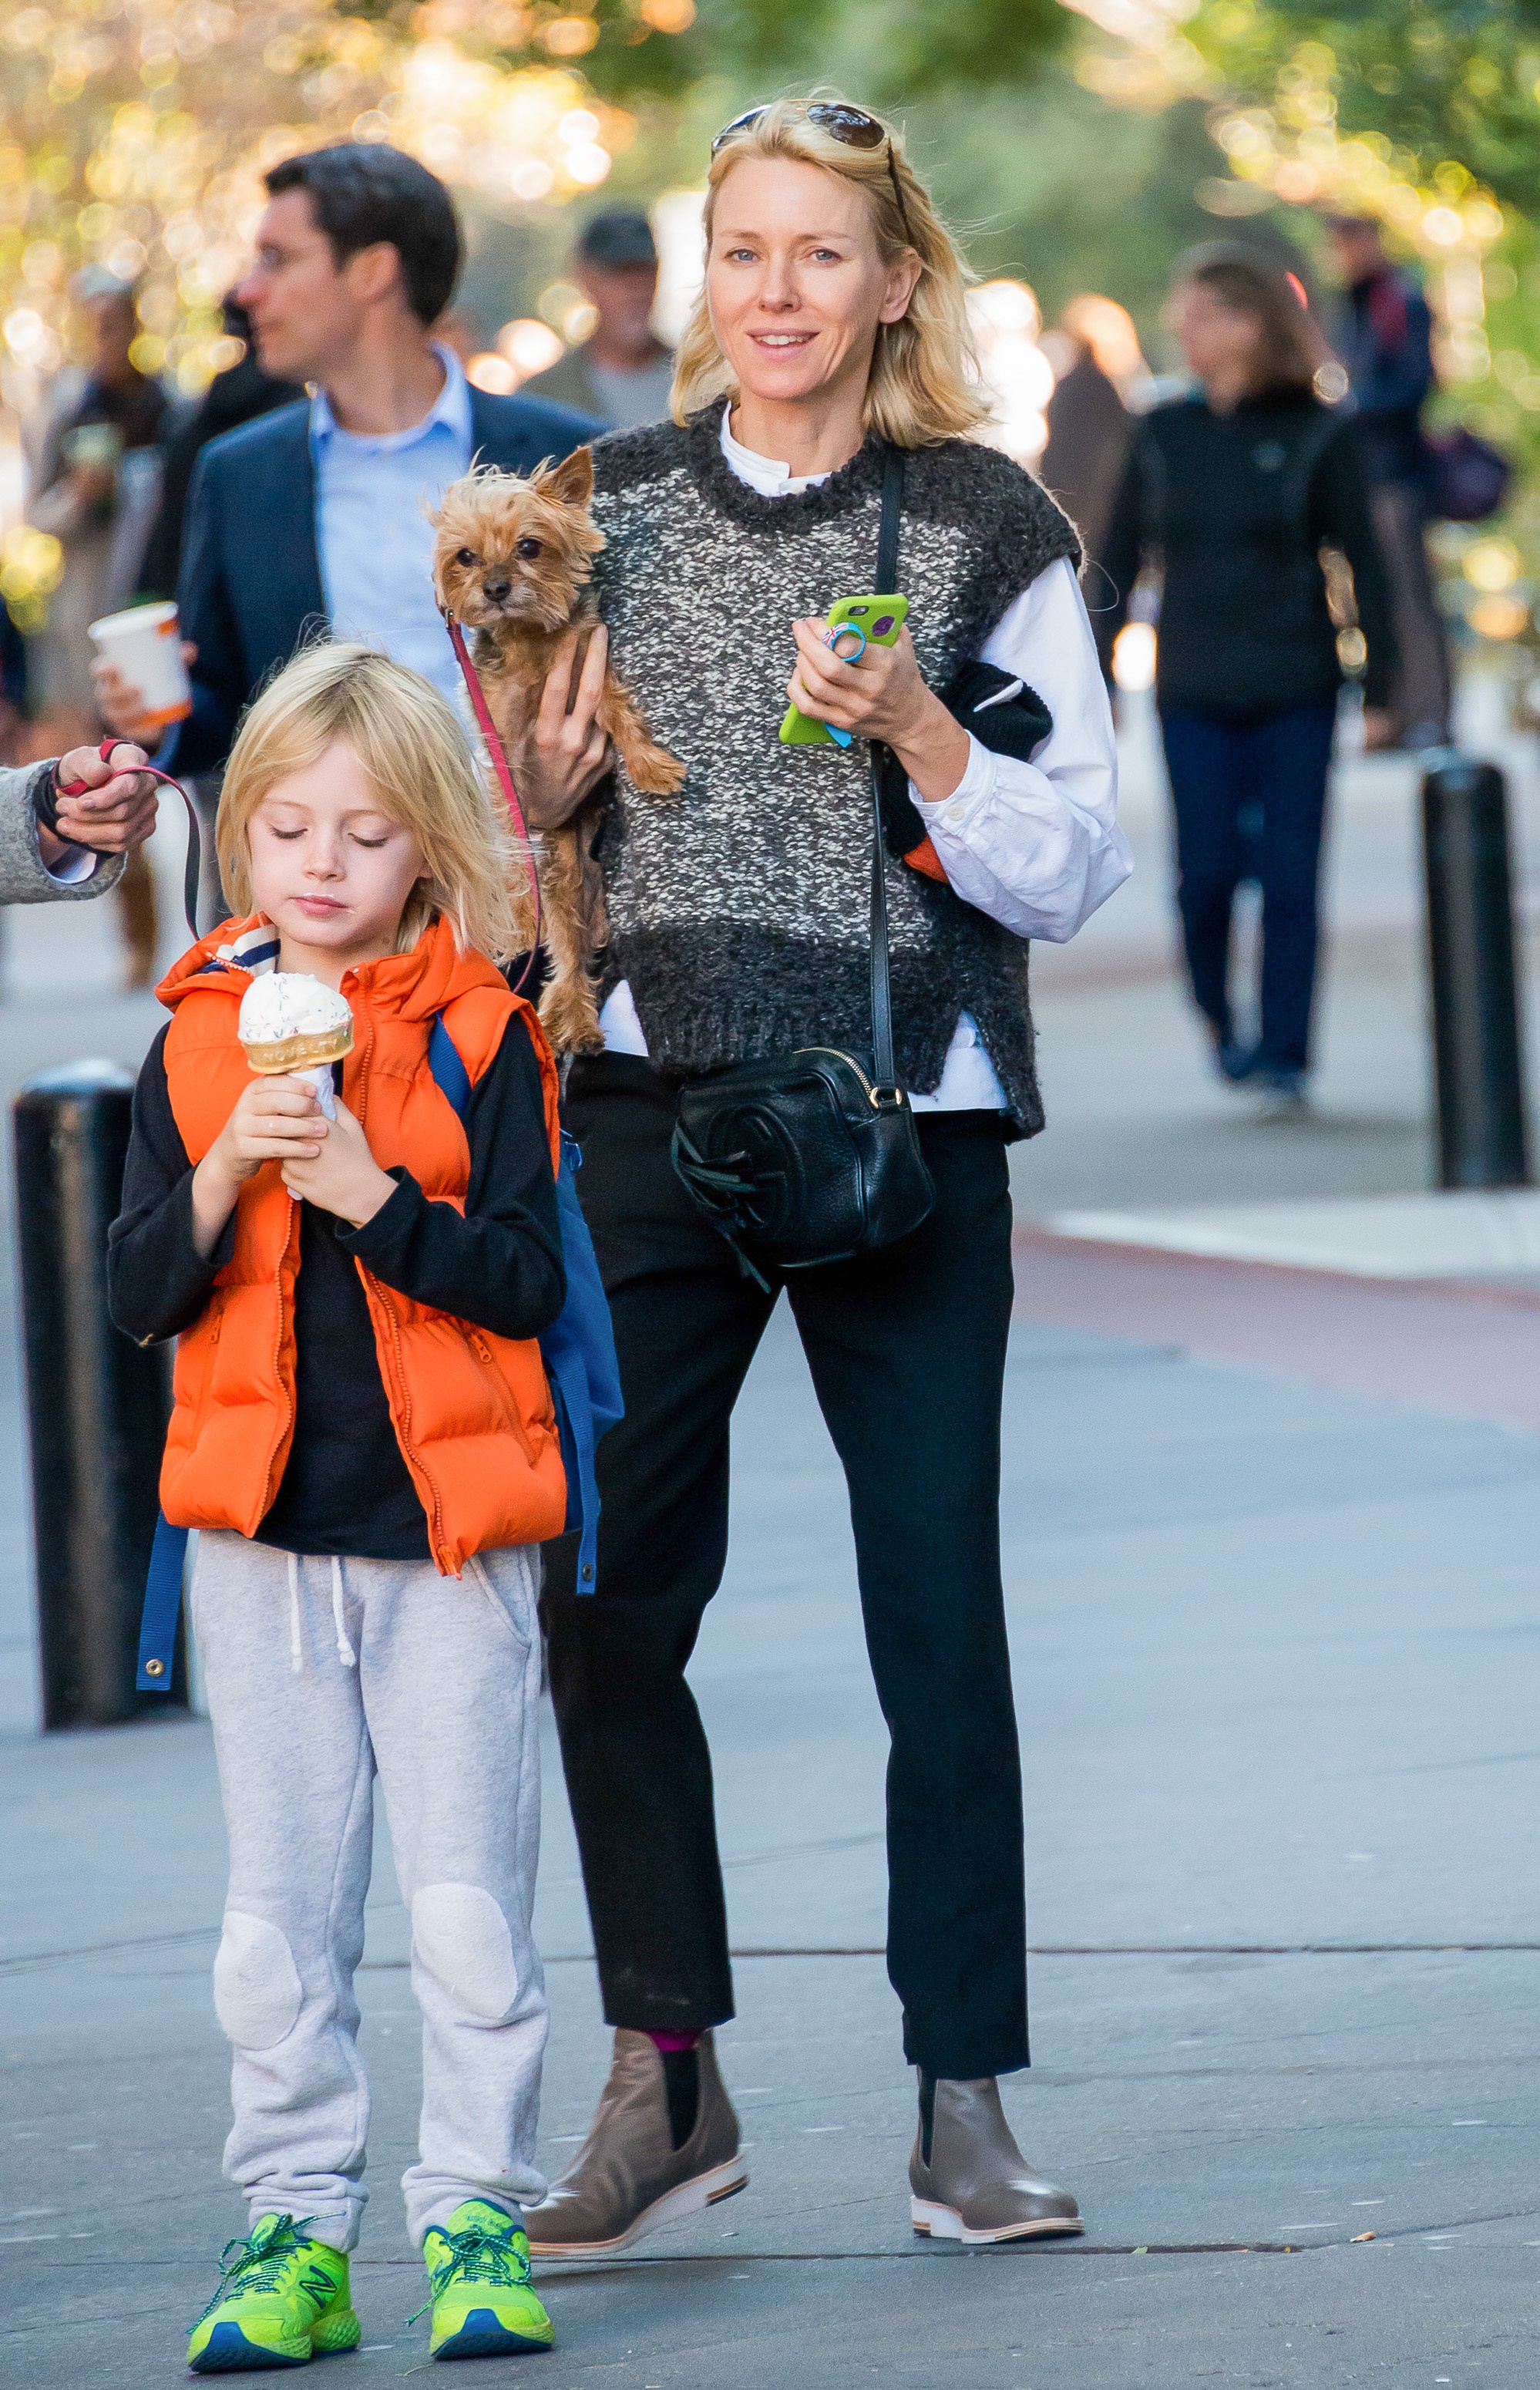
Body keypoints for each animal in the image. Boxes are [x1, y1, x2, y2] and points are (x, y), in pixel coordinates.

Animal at [427, 449, 678, 1046]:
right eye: (465, 557)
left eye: (529, 547)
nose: (495, 588)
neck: (529, 640)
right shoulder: (502, 743)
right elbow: (511, 831)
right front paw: (519, 916)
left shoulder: (592, 670)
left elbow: (621, 713)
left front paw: (651, 767)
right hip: (565, 875)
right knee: (565, 936)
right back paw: (570, 1009)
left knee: (574, 941)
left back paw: (577, 1017)